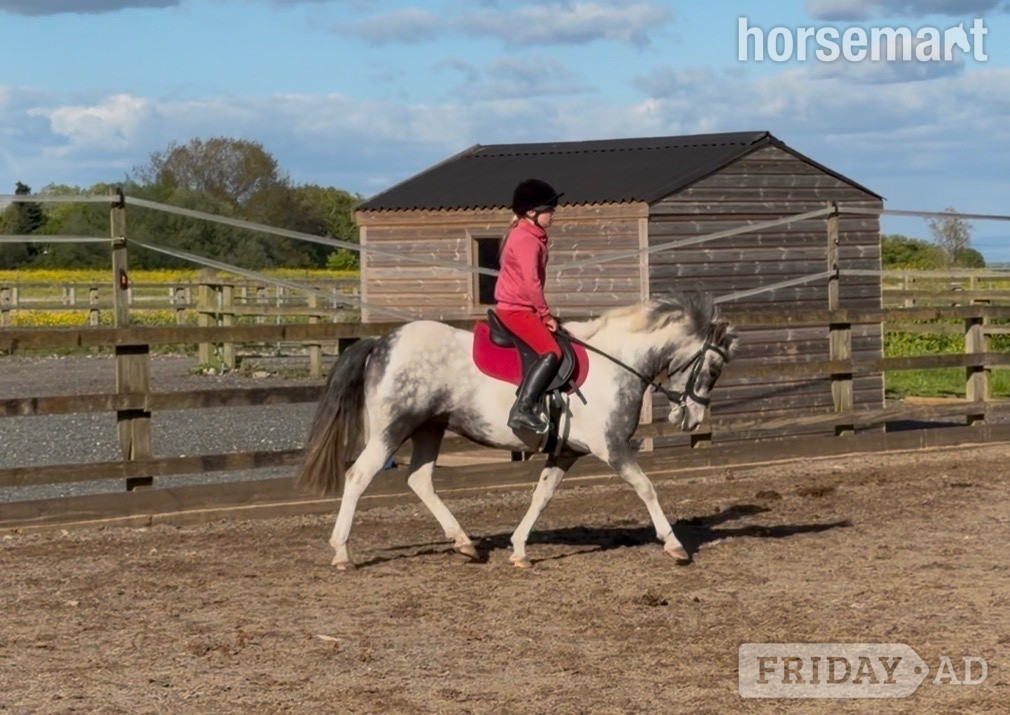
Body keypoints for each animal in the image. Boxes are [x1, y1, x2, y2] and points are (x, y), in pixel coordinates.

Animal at [296, 292, 738, 569]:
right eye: (714, 369)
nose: (691, 420)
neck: (617, 361)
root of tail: (381, 342)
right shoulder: (610, 446)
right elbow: (646, 487)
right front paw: (675, 545)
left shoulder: (567, 451)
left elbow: (542, 495)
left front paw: (520, 549)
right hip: (393, 428)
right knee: (358, 476)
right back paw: (342, 553)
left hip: (429, 428)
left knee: (419, 480)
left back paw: (465, 544)